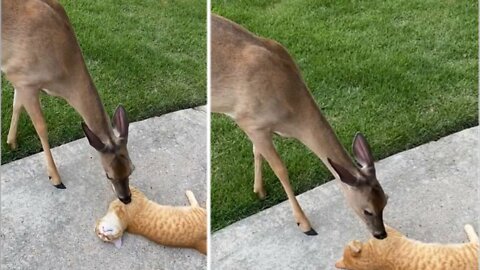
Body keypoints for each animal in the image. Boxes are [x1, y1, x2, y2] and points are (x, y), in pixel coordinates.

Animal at [1, 0, 134, 202]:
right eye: (108, 175)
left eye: (131, 169)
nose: (126, 198)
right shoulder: (24, 79)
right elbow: (41, 127)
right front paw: (55, 178)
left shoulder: (19, 80)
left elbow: (16, 105)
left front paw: (12, 142)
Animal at [212, 14, 388, 238]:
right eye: (367, 210)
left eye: (385, 201)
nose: (381, 234)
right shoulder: (249, 121)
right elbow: (280, 169)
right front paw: (304, 224)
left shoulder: (255, 128)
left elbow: (256, 151)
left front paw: (259, 191)